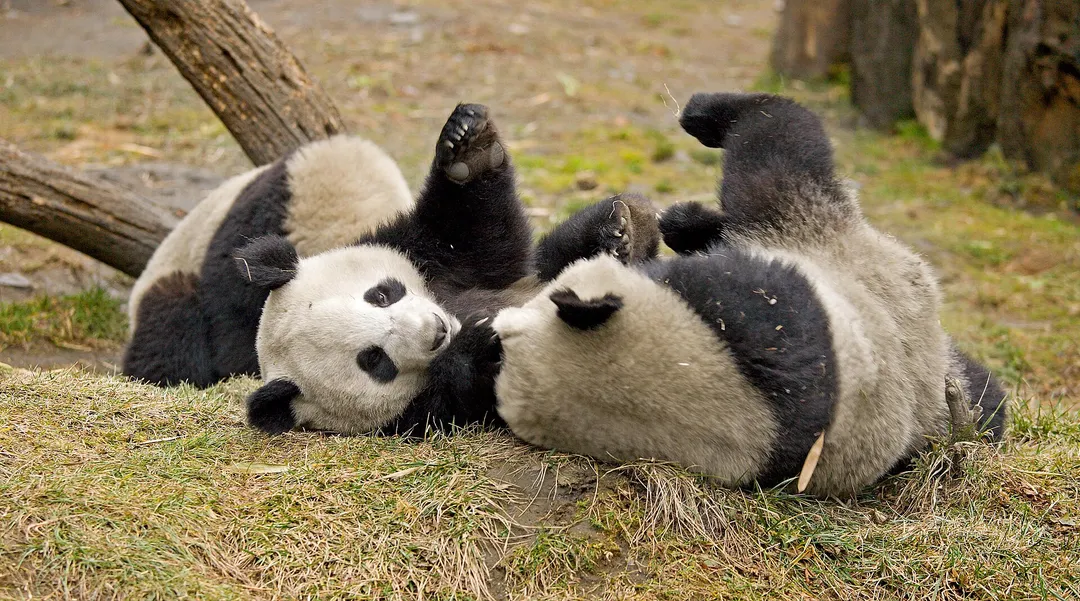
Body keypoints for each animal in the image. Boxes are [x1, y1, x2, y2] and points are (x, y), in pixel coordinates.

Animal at [237, 103, 662, 436]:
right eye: (374, 361)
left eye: (380, 295)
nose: (436, 329)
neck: (452, 310)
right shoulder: (422, 412)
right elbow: (482, 387)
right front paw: (483, 341)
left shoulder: (427, 257)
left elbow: (477, 238)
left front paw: (468, 150)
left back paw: (622, 229)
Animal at [492, 92, 1007, 498]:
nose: (498, 321)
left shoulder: (764, 314)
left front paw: (622, 234)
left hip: (820, 235)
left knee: (774, 154)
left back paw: (704, 120)